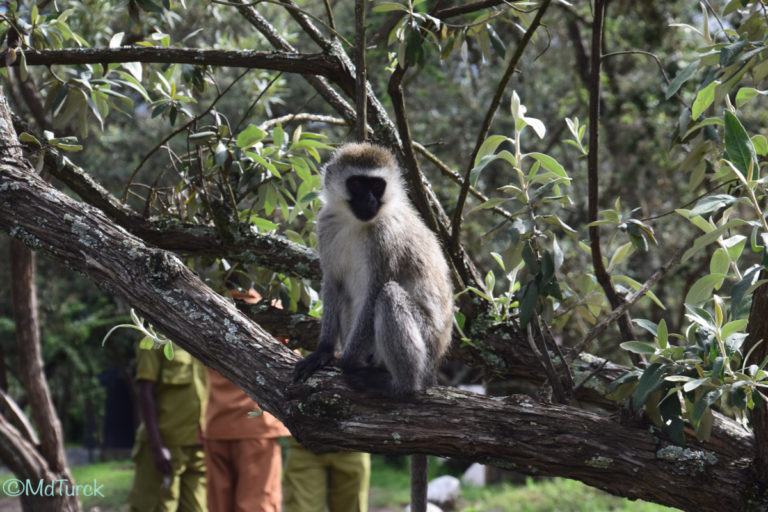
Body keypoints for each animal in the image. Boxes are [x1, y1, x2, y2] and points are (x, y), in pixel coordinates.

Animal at [292, 141, 450, 512]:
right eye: (357, 184)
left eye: (376, 186)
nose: (369, 201)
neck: (356, 223)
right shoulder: (326, 225)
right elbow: (333, 284)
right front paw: (323, 353)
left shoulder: (384, 239)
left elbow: (377, 289)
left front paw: (344, 363)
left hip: (427, 346)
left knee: (388, 296)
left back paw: (397, 385)